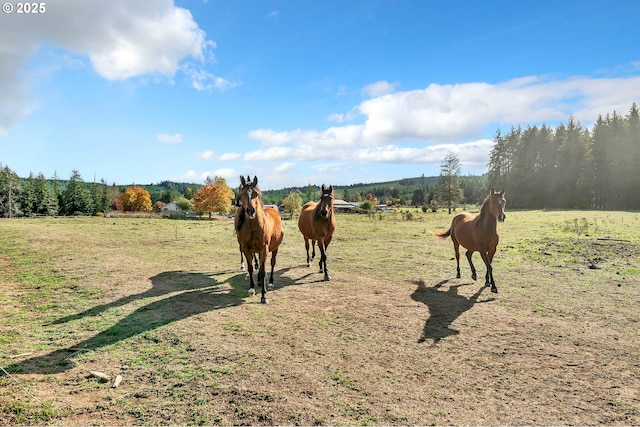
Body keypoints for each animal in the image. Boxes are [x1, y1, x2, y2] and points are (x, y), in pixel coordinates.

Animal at [234, 175, 284, 304]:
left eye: (256, 194)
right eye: (242, 194)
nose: (250, 211)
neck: (253, 226)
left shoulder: (264, 249)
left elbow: (263, 270)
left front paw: (264, 295)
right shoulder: (246, 248)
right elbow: (251, 268)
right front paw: (251, 288)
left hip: (275, 248)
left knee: (272, 263)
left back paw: (270, 282)